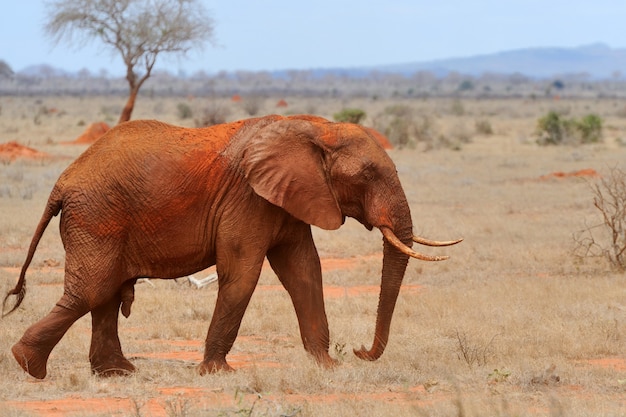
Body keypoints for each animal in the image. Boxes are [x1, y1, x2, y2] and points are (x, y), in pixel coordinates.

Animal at [2, 113, 460, 376]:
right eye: (366, 175)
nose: (362, 351)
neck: (314, 127)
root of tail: (61, 183)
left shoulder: (289, 198)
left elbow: (304, 273)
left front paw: (326, 367)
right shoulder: (247, 197)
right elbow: (242, 274)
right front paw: (218, 373)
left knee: (106, 294)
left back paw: (117, 373)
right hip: (96, 216)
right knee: (93, 290)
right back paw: (29, 365)